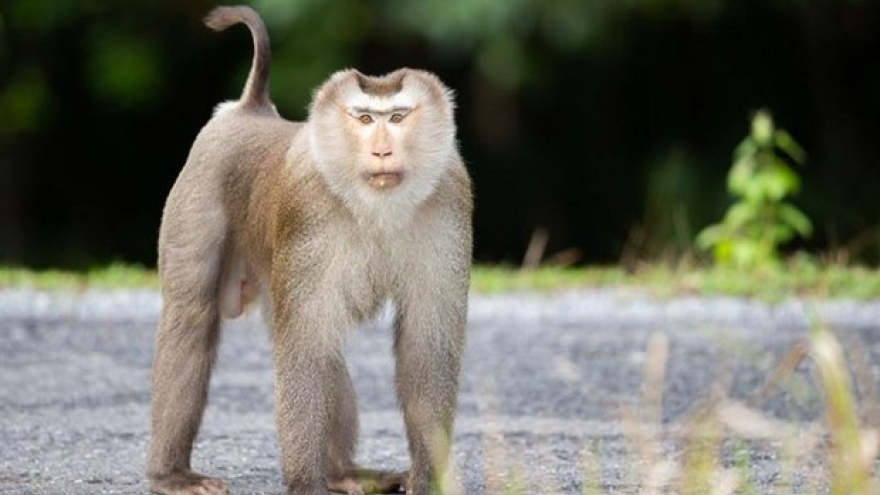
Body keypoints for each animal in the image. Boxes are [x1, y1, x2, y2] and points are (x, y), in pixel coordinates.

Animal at [148, 3, 470, 495]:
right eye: (363, 119)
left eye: (397, 118)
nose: (381, 151)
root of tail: (251, 109)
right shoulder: (308, 208)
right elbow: (306, 345)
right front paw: (305, 483)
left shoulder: (450, 200)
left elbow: (425, 347)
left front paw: (427, 478)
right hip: (199, 190)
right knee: (192, 315)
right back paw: (171, 474)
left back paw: (343, 473)